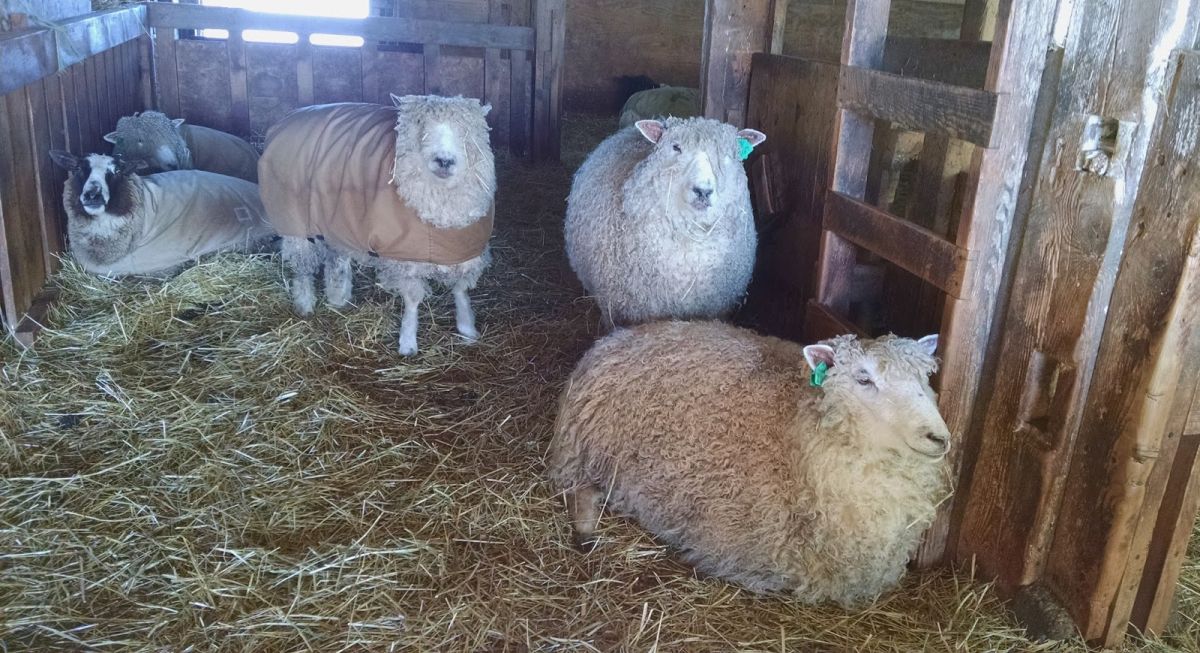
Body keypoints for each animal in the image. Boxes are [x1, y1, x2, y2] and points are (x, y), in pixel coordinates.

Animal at [256, 94, 492, 355]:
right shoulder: (406, 258)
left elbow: (461, 288)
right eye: (420, 127)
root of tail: (288, 118)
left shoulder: (463, 249)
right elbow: (412, 299)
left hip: (336, 220)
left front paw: (467, 329)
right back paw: (305, 304)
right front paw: (408, 341)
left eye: (466, 130)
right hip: (295, 223)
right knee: (303, 268)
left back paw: (338, 297)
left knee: (335, 259)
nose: (444, 160)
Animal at [549, 321, 950, 607]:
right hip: (583, 447)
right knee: (577, 489)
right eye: (864, 378)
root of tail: (613, 338)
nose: (939, 437)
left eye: (925, 377)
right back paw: (585, 531)